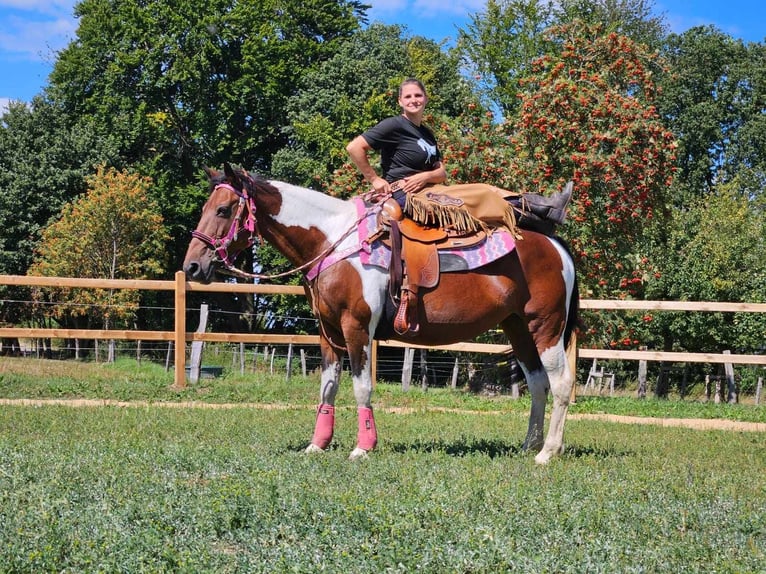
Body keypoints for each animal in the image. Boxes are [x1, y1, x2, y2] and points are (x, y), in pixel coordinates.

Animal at [184, 164, 584, 466]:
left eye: (223, 210)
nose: (192, 266)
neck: (334, 242)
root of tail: (555, 245)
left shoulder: (356, 327)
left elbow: (362, 387)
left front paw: (363, 447)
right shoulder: (327, 332)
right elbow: (328, 386)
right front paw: (318, 444)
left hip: (546, 326)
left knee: (561, 383)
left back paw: (547, 453)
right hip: (518, 327)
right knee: (538, 383)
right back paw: (529, 445)